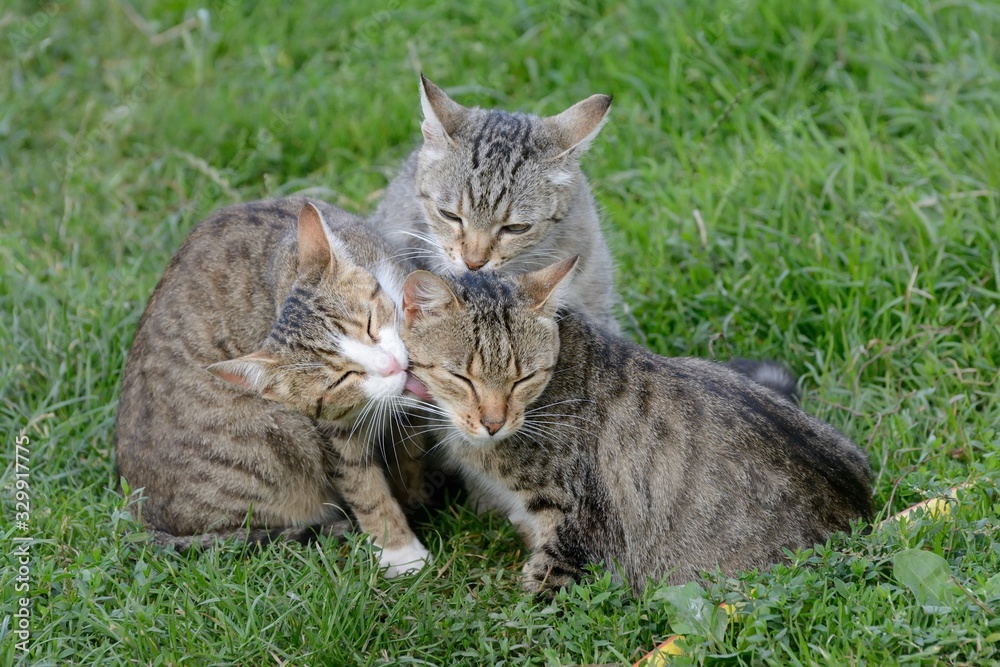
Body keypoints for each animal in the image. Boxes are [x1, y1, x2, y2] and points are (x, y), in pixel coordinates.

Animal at [117, 198, 430, 580]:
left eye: (370, 324)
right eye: (341, 380)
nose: (391, 366)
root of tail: (140, 513)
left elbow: (411, 439)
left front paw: (413, 484)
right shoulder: (332, 429)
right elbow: (363, 485)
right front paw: (401, 552)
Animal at [398, 258, 876, 596]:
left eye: (523, 378)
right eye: (461, 377)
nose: (493, 422)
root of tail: (864, 518)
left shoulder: (580, 529)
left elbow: (542, 600)